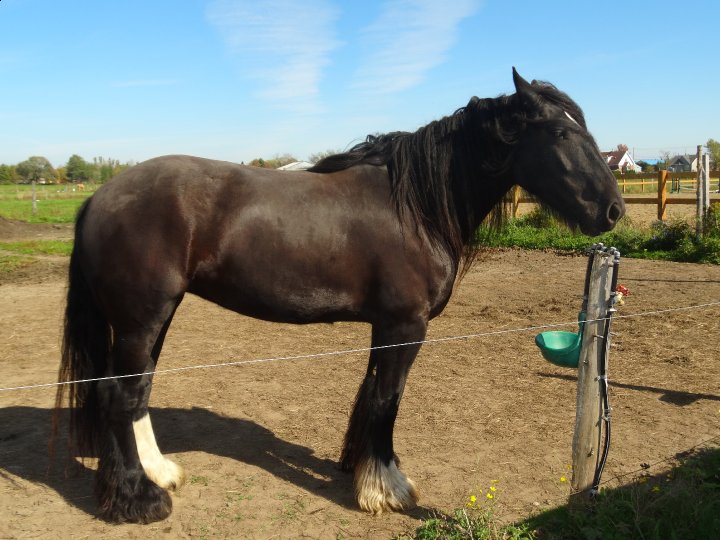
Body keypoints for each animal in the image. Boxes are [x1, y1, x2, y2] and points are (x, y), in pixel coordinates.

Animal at [54, 68, 624, 523]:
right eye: (559, 131)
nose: (613, 209)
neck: (414, 207)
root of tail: (99, 197)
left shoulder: (386, 327)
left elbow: (371, 396)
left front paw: (361, 471)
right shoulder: (404, 326)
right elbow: (388, 399)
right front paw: (386, 489)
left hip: (156, 317)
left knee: (136, 390)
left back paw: (158, 473)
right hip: (141, 318)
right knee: (118, 395)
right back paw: (138, 499)